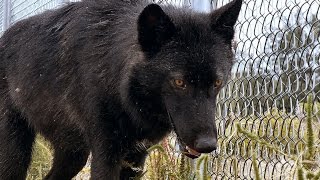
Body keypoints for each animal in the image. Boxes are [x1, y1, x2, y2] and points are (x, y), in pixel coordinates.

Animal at [0, 0, 241, 179]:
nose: (208, 145)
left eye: (217, 82)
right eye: (179, 82)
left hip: (74, 154)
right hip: (17, 153)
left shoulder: (136, 158)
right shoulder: (106, 155)